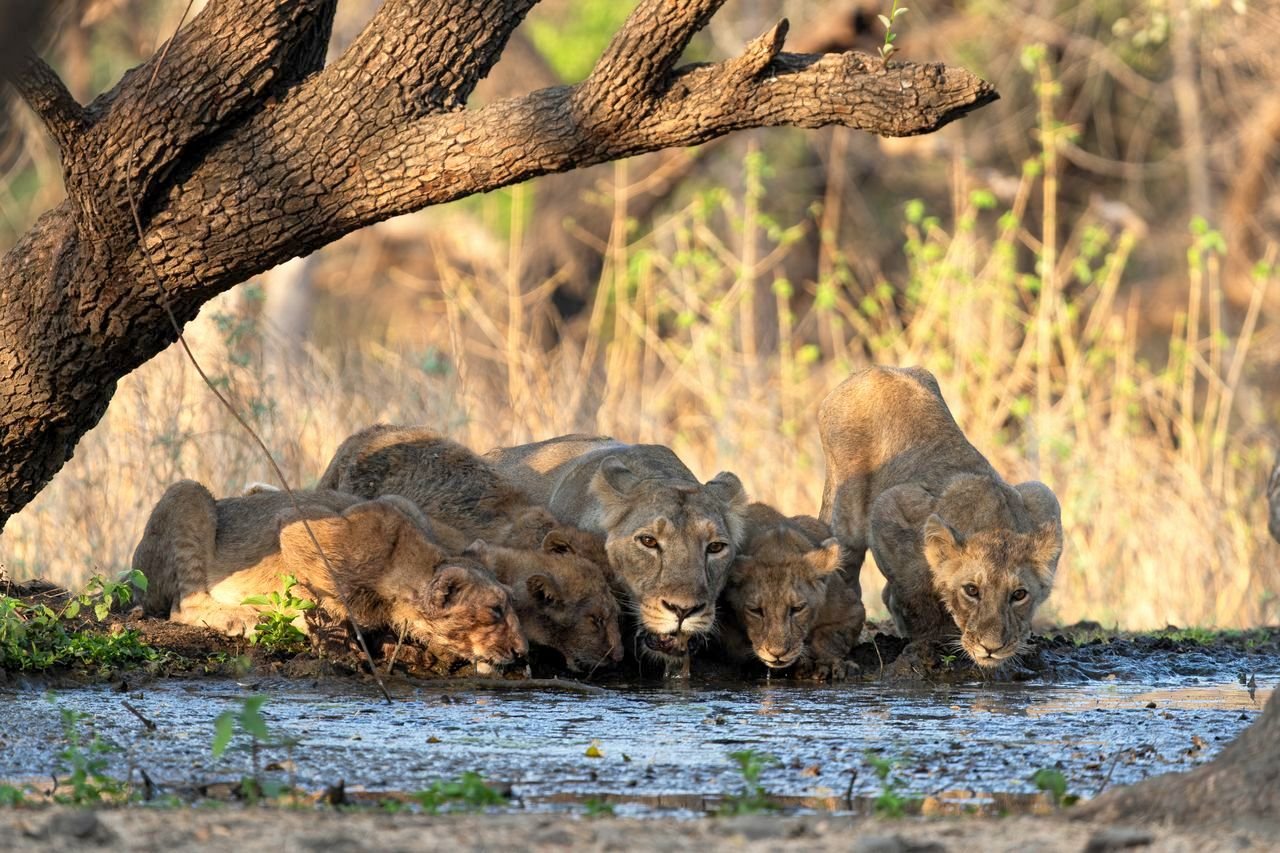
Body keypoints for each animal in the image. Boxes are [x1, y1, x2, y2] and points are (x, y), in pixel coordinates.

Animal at [132, 480, 527, 669]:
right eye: (495, 610)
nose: (523, 652)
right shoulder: (296, 528)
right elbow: (315, 601)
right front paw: (337, 643)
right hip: (189, 494)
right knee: (182, 606)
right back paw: (244, 617)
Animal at [721, 503, 864, 680]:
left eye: (797, 609)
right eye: (755, 611)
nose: (777, 654)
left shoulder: (851, 611)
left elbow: (830, 638)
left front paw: (828, 663)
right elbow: (737, 646)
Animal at [818, 366, 1063, 670]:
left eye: (1019, 595)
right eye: (971, 590)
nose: (991, 648)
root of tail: (871, 370)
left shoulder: (1042, 496)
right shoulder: (890, 508)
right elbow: (917, 594)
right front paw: (933, 643)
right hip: (847, 512)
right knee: (846, 564)